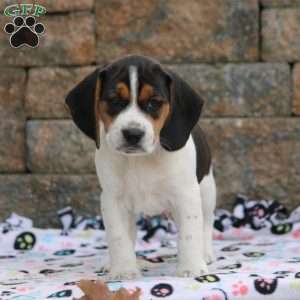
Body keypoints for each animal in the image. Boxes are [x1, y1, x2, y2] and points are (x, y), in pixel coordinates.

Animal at [65, 54, 216, 278]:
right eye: (115, 101)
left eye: (153, 103)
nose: (133, 134)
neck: (140, 160)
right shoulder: (113, 200)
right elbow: (119, 238)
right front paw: (124, 271)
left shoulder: (186, 196)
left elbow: (190, 235)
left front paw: (191, 268)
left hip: (206, 191)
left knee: (205, 223)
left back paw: (205, 254)